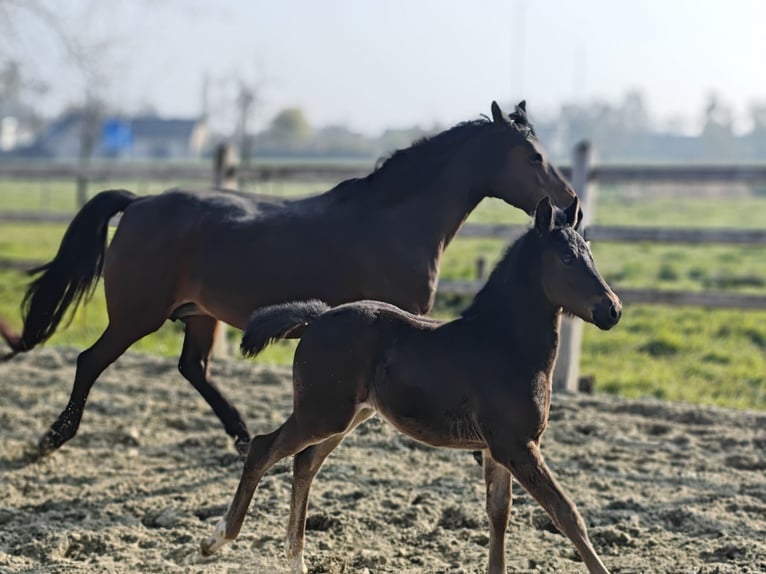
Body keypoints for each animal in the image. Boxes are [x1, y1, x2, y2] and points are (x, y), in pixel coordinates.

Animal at [0, 100, 579, 458]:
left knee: (193, 368)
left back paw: (240, 436)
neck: (395, 218)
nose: (571, 204)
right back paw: (51, 440)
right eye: (533, 156)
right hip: (136, 316)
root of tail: (139, 202)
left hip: (198, 315)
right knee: (89, 361)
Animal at [200, 196, 622, 574]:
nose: (612, 310)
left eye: (591, 255)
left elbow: (499, 512)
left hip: (346, 417)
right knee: (262, 449)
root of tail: (317, 317)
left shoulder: (497, 449)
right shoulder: (516, 444)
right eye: (566, 259)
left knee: (305, 463)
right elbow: (566, 513)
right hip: (322, 414)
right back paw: (217, 539)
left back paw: (296, 560)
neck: (504, 343)